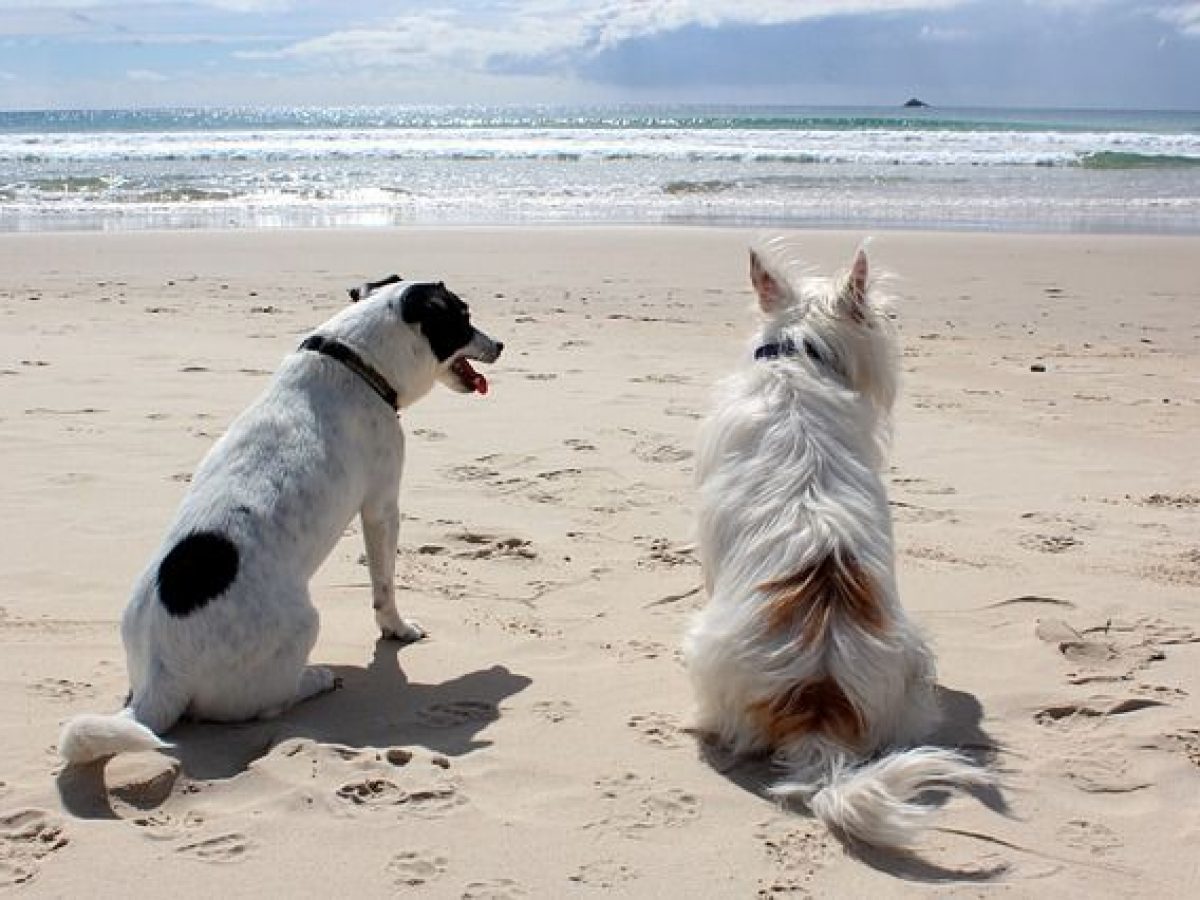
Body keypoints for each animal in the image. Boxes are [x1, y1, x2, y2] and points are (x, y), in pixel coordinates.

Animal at [59, 277, 501, 768]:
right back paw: (316, 678)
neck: (355, 360)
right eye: (463, 317)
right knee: (269, 702)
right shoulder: (382, 507)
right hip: (303, 624)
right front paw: (398, 629)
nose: (501, 345)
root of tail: (162, 675)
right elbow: (384, 586)